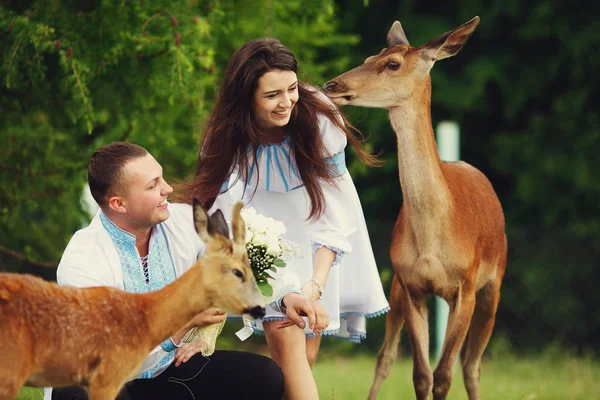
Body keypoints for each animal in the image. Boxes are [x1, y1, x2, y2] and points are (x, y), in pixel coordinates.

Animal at [324, 16, 506, 400]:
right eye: (370, 56)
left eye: (392, 64)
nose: (333, 84)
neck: (435, 236)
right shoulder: (411, 285)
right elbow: (421, 374)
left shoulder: (466, 285)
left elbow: (445, 374)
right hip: (393, 288)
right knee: (386, 356)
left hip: (493, 284)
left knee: (472, 366)